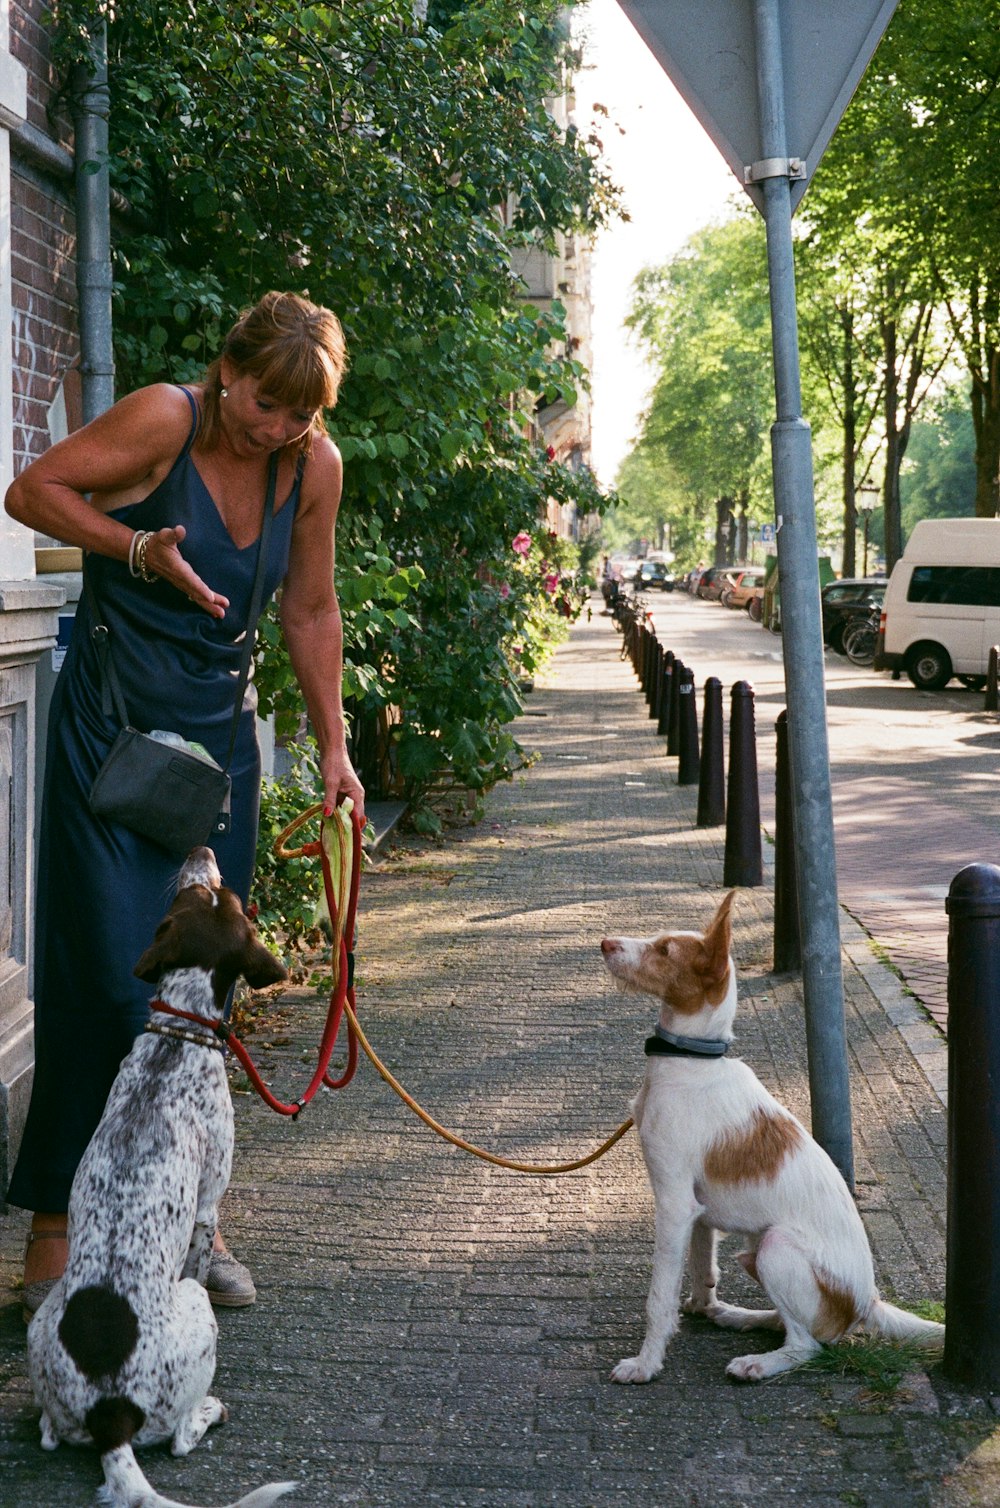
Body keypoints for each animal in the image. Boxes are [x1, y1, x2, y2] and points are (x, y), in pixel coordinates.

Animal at [25, 850, 295, 1508]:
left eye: (200, 895)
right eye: (219, 895)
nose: (202, 852)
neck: (178, 1037)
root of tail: (110, 1418)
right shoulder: (208, 1203)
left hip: (43, 1338)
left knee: (47, 1431)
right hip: (195, 1313)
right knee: (179, 1439)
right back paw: (212, 1410)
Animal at [603, 886, 947, 1381]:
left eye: (664, 950)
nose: (605, 944)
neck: (692, 1059)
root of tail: (868, 1302)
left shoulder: (673, 1203)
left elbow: (659, 1296)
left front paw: (646, 1362)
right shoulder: (698, 1211)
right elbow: (702, 1267)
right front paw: (701, 1306)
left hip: (775, 1247)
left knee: (808, 1345)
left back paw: (759, 1363)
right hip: (754, 1249)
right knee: (788, 1323)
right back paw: (742, 1317)